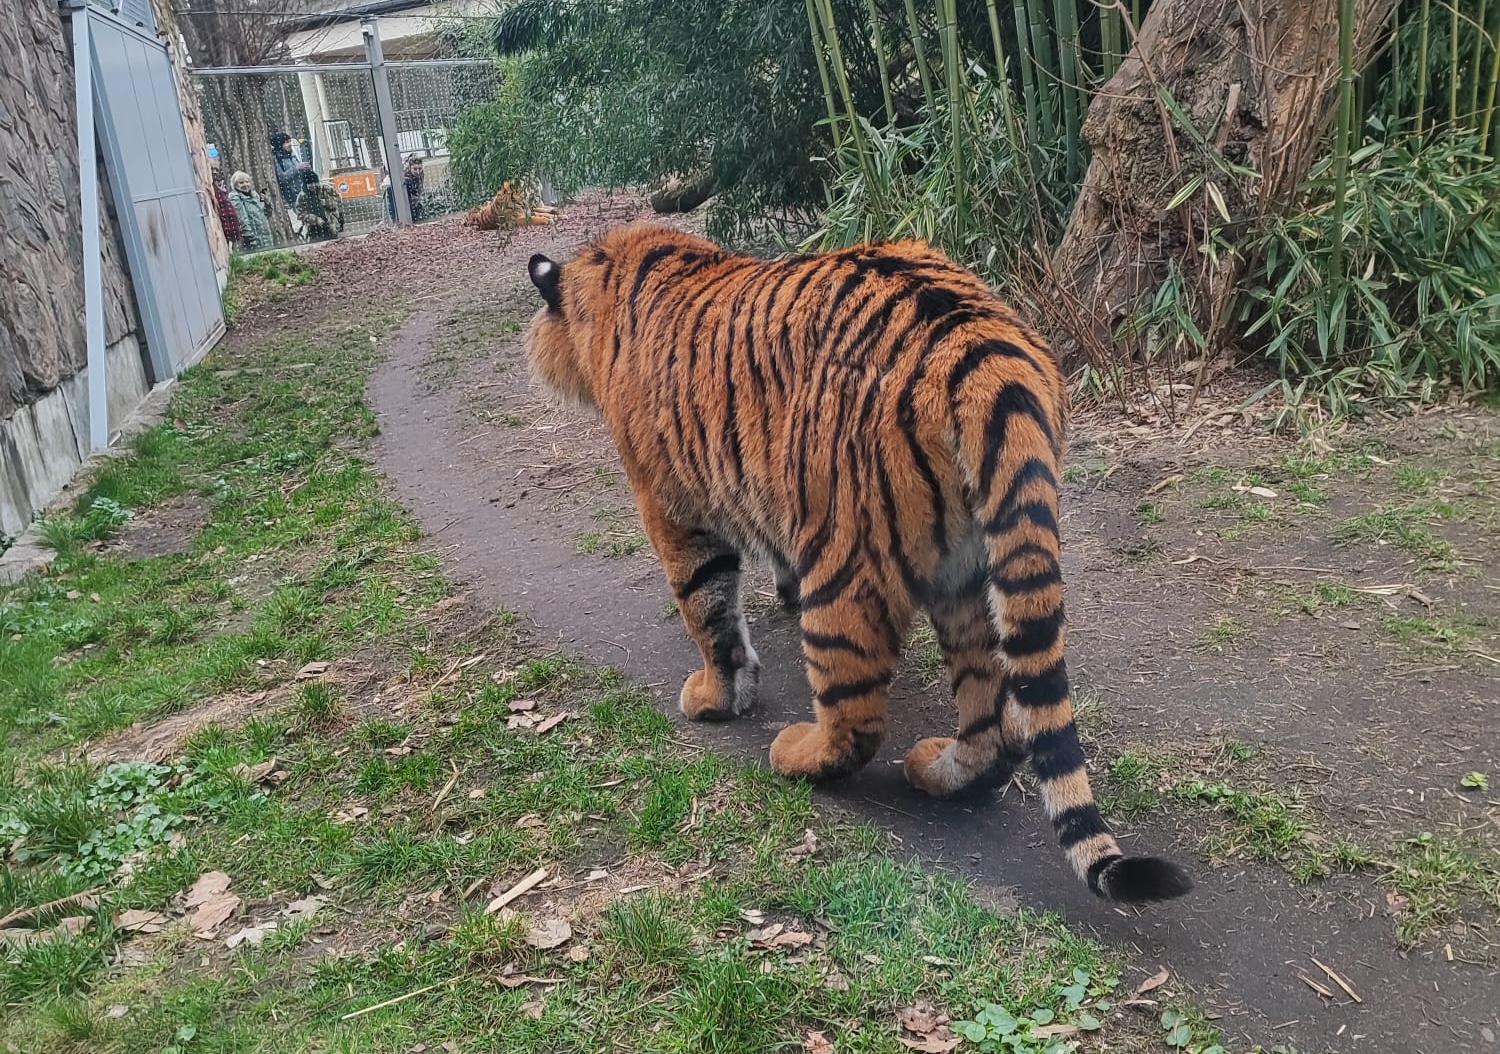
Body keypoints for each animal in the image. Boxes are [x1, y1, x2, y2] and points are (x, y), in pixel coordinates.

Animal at [522, 224, 1192, 904]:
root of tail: (982, 344)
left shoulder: (673, 509)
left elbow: (709, 612)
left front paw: (716, 696)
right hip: (972, 573)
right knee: (995, 719)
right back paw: (940, 771)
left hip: (845, 560)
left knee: (857, 719)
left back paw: (795, 754)